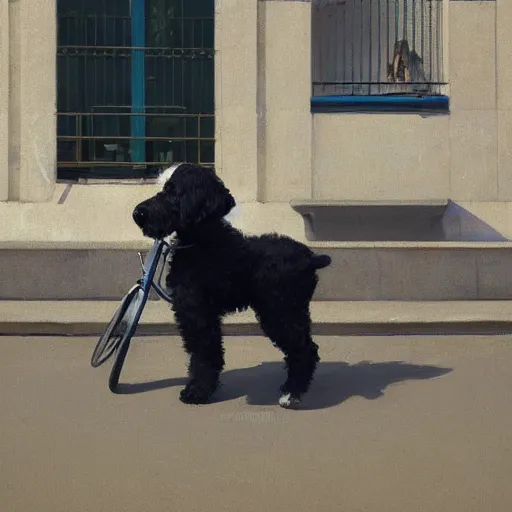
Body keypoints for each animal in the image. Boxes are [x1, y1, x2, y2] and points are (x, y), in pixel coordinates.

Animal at [132, 163, 332, 408]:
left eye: (171, 192)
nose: (137, 214)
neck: (204, 241)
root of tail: (310, 258)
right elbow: (209, 351)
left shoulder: (197, 313)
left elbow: (204, 352)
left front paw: (197, 391)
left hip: (280, 312)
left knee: (305, 349)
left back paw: (290, 394)